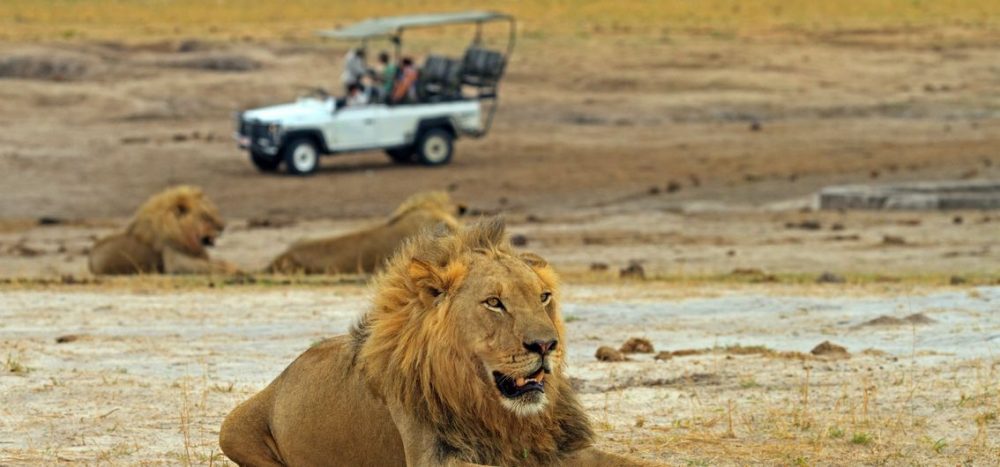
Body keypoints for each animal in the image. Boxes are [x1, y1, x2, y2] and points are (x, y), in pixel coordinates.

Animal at [88, 185, 238, 275]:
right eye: (205, 216)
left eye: (214, 212)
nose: (223, 227)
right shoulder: (175, 264)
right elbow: (213, 265)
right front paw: (233, 268)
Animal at [220, 217, 660, 466]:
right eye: (494, 303)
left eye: (544, 297)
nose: (546, 345)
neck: (493, 411)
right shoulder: (435, 458)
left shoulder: (557, 449)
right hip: (232, 427)